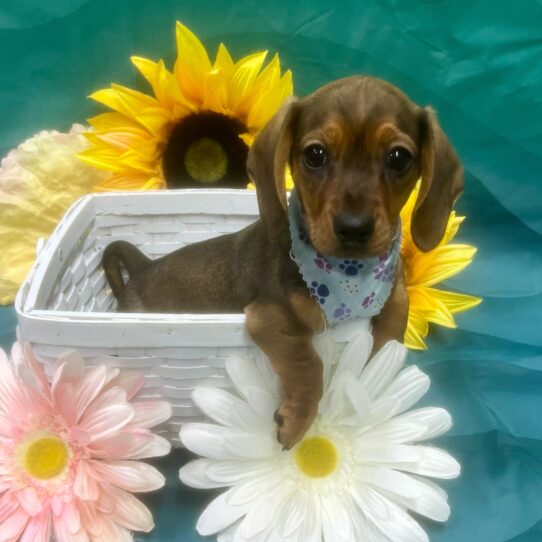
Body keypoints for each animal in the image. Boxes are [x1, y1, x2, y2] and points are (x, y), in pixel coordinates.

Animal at [104, 76, 466, 450]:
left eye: (398, 158)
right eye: (315, 155)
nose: (353, 228)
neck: (349, 276)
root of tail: (143, 267)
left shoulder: (392, 288)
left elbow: (395, 315)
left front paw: (381, 358)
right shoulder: (270, 314)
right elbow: (307, 363)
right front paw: (297, 420)